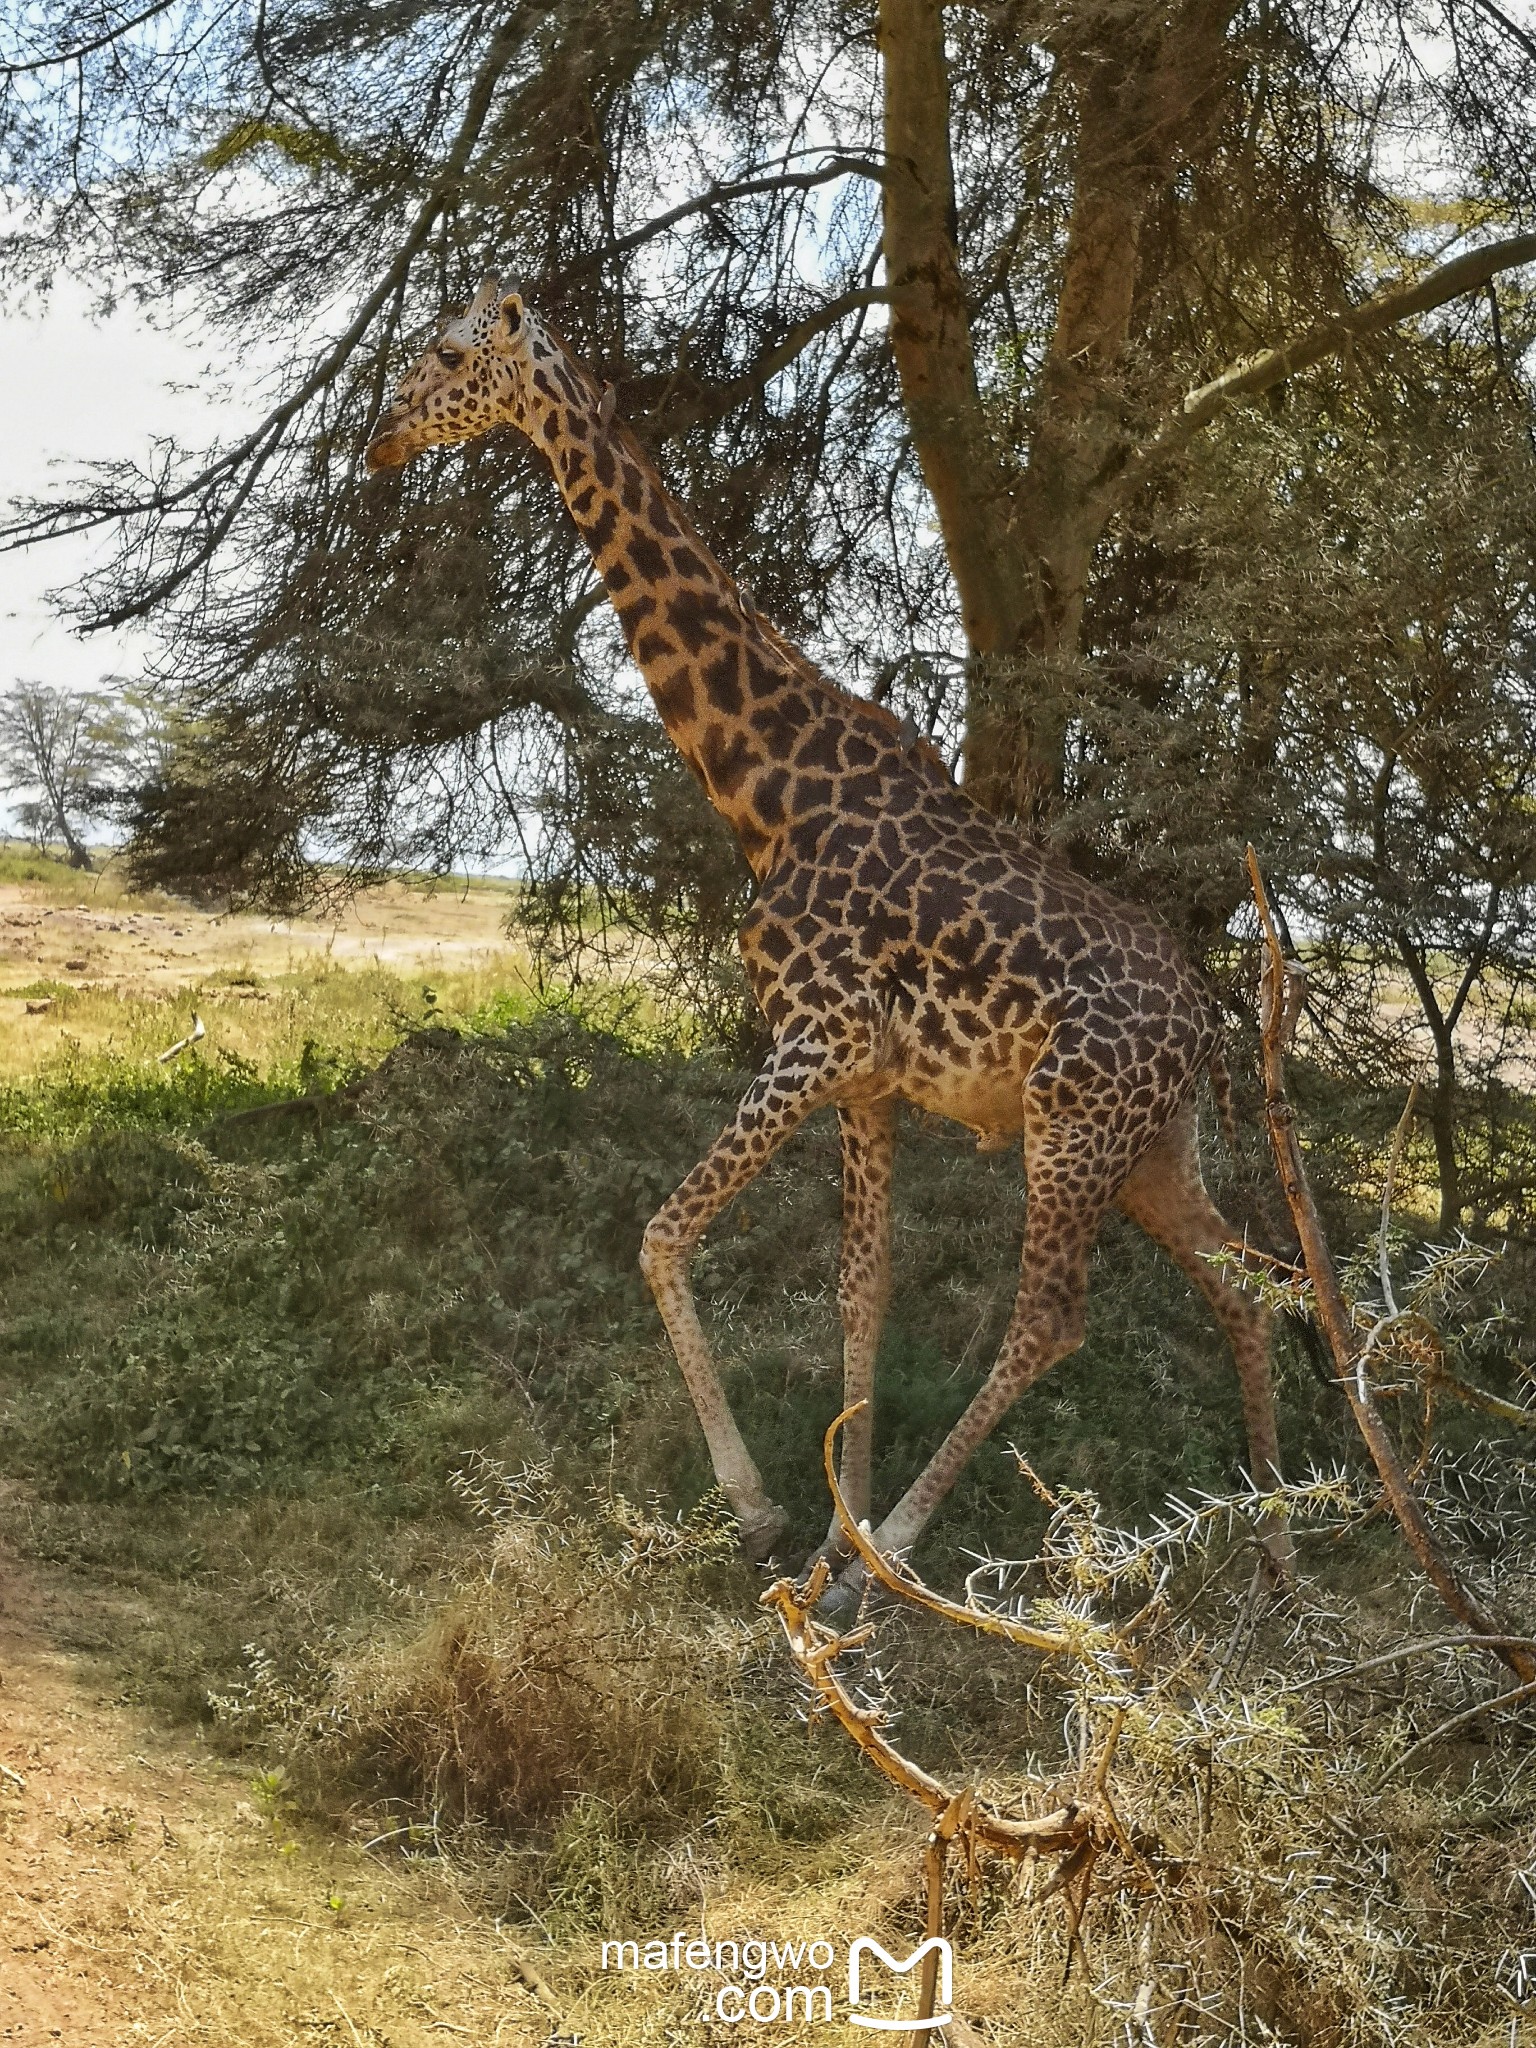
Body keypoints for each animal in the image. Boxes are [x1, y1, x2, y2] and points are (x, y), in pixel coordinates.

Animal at [370, 280, 1286, 1572]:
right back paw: (1275, 1525)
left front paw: (779, 1515)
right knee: (1246, 1282)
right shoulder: (867, 1075)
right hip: (1153, 1146)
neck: (766, 785)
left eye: (449, 353)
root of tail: (1206, 1025)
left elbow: (661, 1234)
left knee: (1054, 1318)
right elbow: (865, 1287)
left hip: (1071, 1121)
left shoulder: (820, 1037)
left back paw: (901, 1546)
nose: (379, 436)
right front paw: (827, 1527)